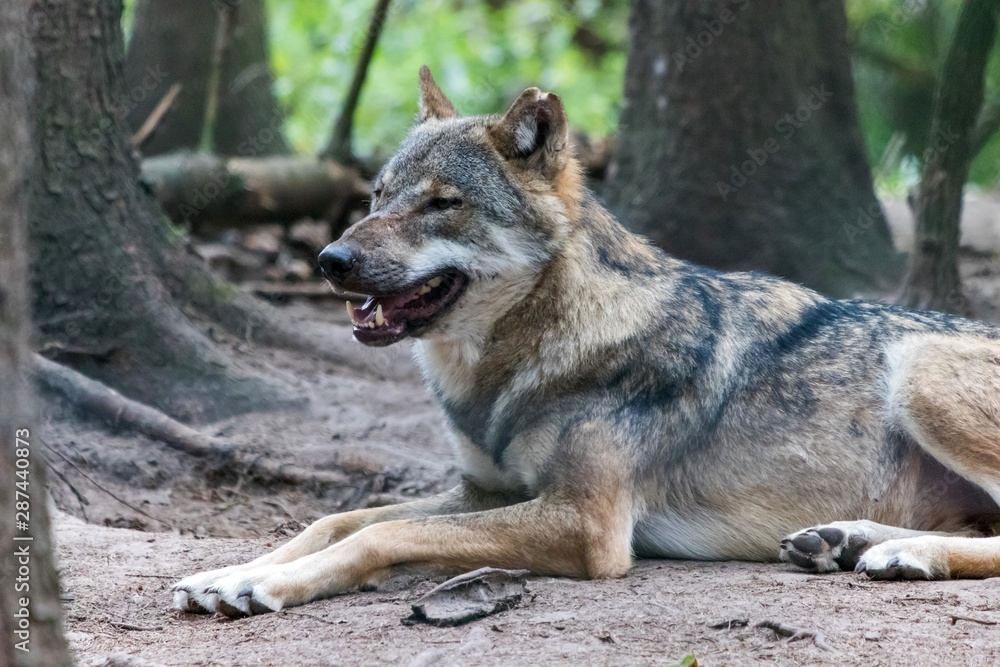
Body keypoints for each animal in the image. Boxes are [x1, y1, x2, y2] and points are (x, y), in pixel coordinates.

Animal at [173, 67, 1000, 618]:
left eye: (442, 204)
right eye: (376, 196)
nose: (329, 260)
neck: (508, 369)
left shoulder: (584, 522)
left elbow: (389, 532)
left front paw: (263, 584)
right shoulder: (487, 490)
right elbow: (336, 519)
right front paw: (230, 571)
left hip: (918, 369)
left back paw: (902, 551)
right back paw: (845, 538)